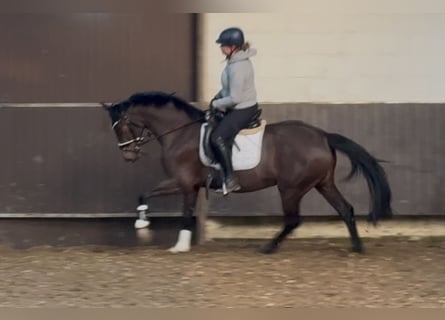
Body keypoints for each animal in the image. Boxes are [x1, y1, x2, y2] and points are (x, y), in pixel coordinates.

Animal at [102, 91, 390, 254]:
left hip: (290, 188)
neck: (181, 133)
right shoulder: (185, 184)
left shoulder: (185, 183)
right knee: (345, 209)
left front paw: (177, 244)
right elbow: (144, 195)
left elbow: (183, 212)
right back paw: (357, 248)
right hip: (323, 183)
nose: (128, 156)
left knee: (293, 220)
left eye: (122, 127)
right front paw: (143, 222)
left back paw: (268, 247)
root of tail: (323, 136)